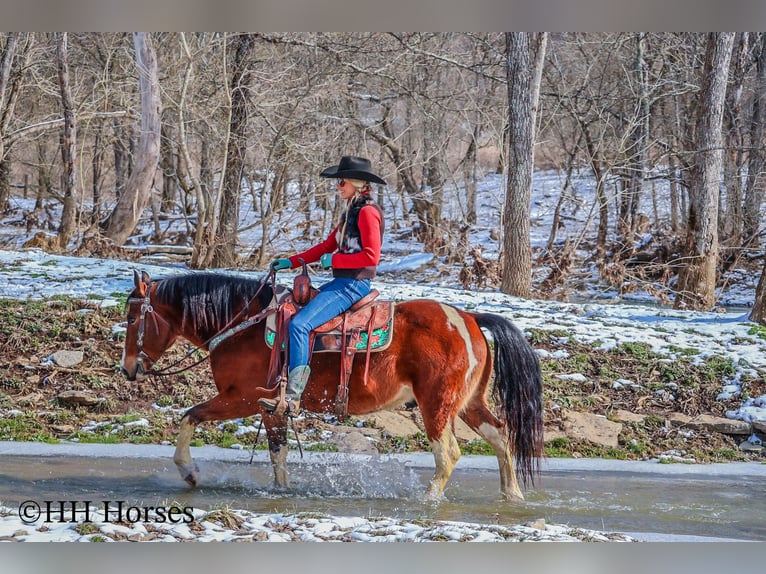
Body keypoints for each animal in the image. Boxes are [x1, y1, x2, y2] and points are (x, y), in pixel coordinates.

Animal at [120, 269, 544, 501]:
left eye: (131, 318)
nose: (128, 370)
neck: (243, 324)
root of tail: (468, 317)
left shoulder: (240, 399)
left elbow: (189, 417)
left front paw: (189, 472)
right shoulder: (269, 408)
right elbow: (278, 452)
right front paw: (282, 490)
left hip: (436, 404)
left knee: (449, 454)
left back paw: (427, 500)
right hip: (470, 403)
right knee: (501, 437)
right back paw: (512, 494)